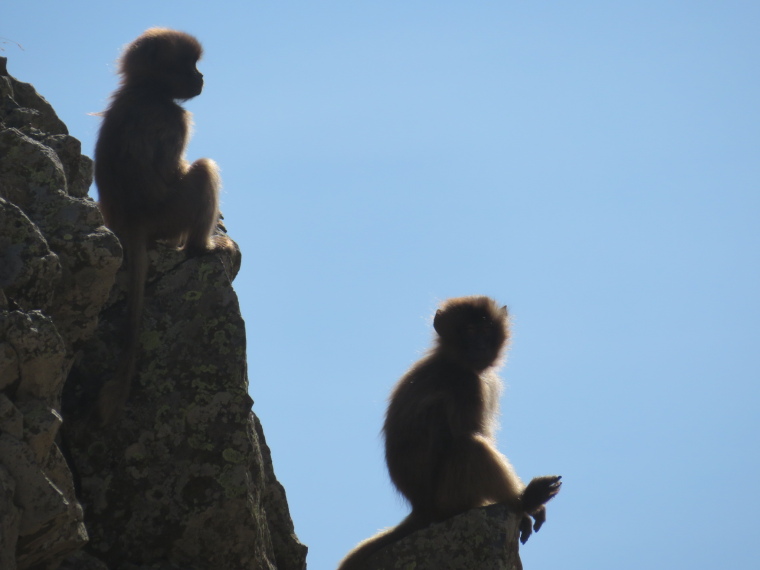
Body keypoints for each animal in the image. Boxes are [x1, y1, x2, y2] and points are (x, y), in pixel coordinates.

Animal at [338, 296, 560, 564]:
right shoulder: (467, 386)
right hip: (449, 500)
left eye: (486, 330)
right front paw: (524, 507)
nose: (480, 347)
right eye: (470, 330)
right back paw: (524, 501)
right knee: (470, 445)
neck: (452, 360)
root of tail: (421, 508)